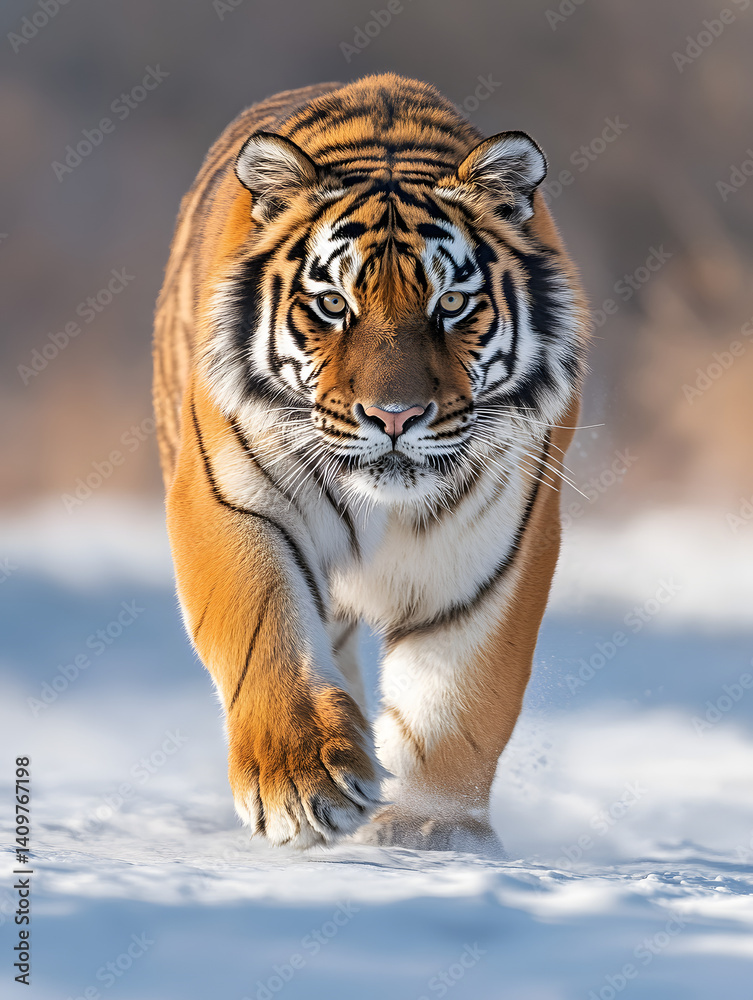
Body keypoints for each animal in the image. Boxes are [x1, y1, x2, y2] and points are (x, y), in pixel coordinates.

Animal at [153, 73, 589, 852]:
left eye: (453, 303)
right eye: (332, 304)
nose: (394, 416)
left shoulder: (501, 544)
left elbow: (459, 695)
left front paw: (432, 827)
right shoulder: (229, 502)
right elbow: (265, 633)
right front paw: (303, 784)